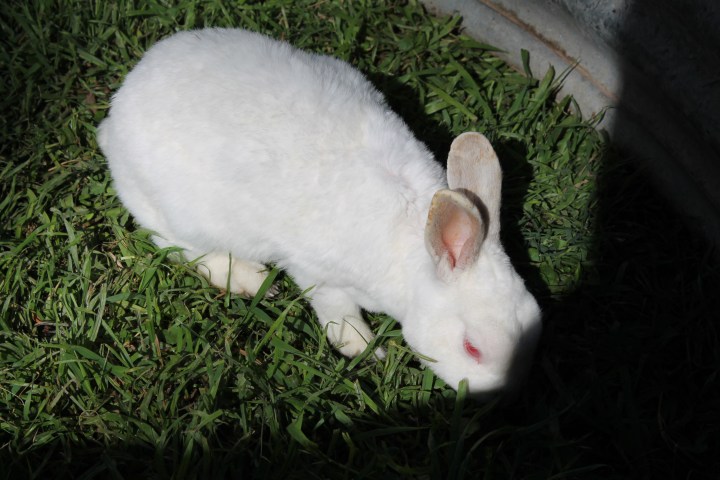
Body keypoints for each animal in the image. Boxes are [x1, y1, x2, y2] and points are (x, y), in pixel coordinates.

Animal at [97, 28, 542, 394]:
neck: (413, 251)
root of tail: (115, 116)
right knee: (180, 246)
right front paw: (364, 349)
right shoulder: (319, 275)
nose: (499, 396)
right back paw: (250, 280)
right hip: (173, 212)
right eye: (472, 348)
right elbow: (337, 312)